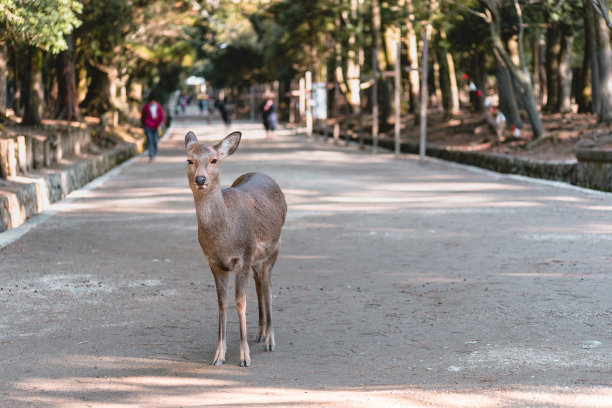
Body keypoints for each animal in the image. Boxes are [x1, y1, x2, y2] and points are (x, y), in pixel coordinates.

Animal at [184, 131, 286, 366]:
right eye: (189, 160)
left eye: (214, 160)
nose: (200, 179)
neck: (224, 240)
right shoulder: (214, 262)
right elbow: (222, 303)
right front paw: (218, 355)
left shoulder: (243, 257)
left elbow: (240, 302)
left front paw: (244, 357)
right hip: (256, 259)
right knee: (259, 283)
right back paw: (259, 333)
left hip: (274, 247)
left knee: (267, 286)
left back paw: (270, 341)